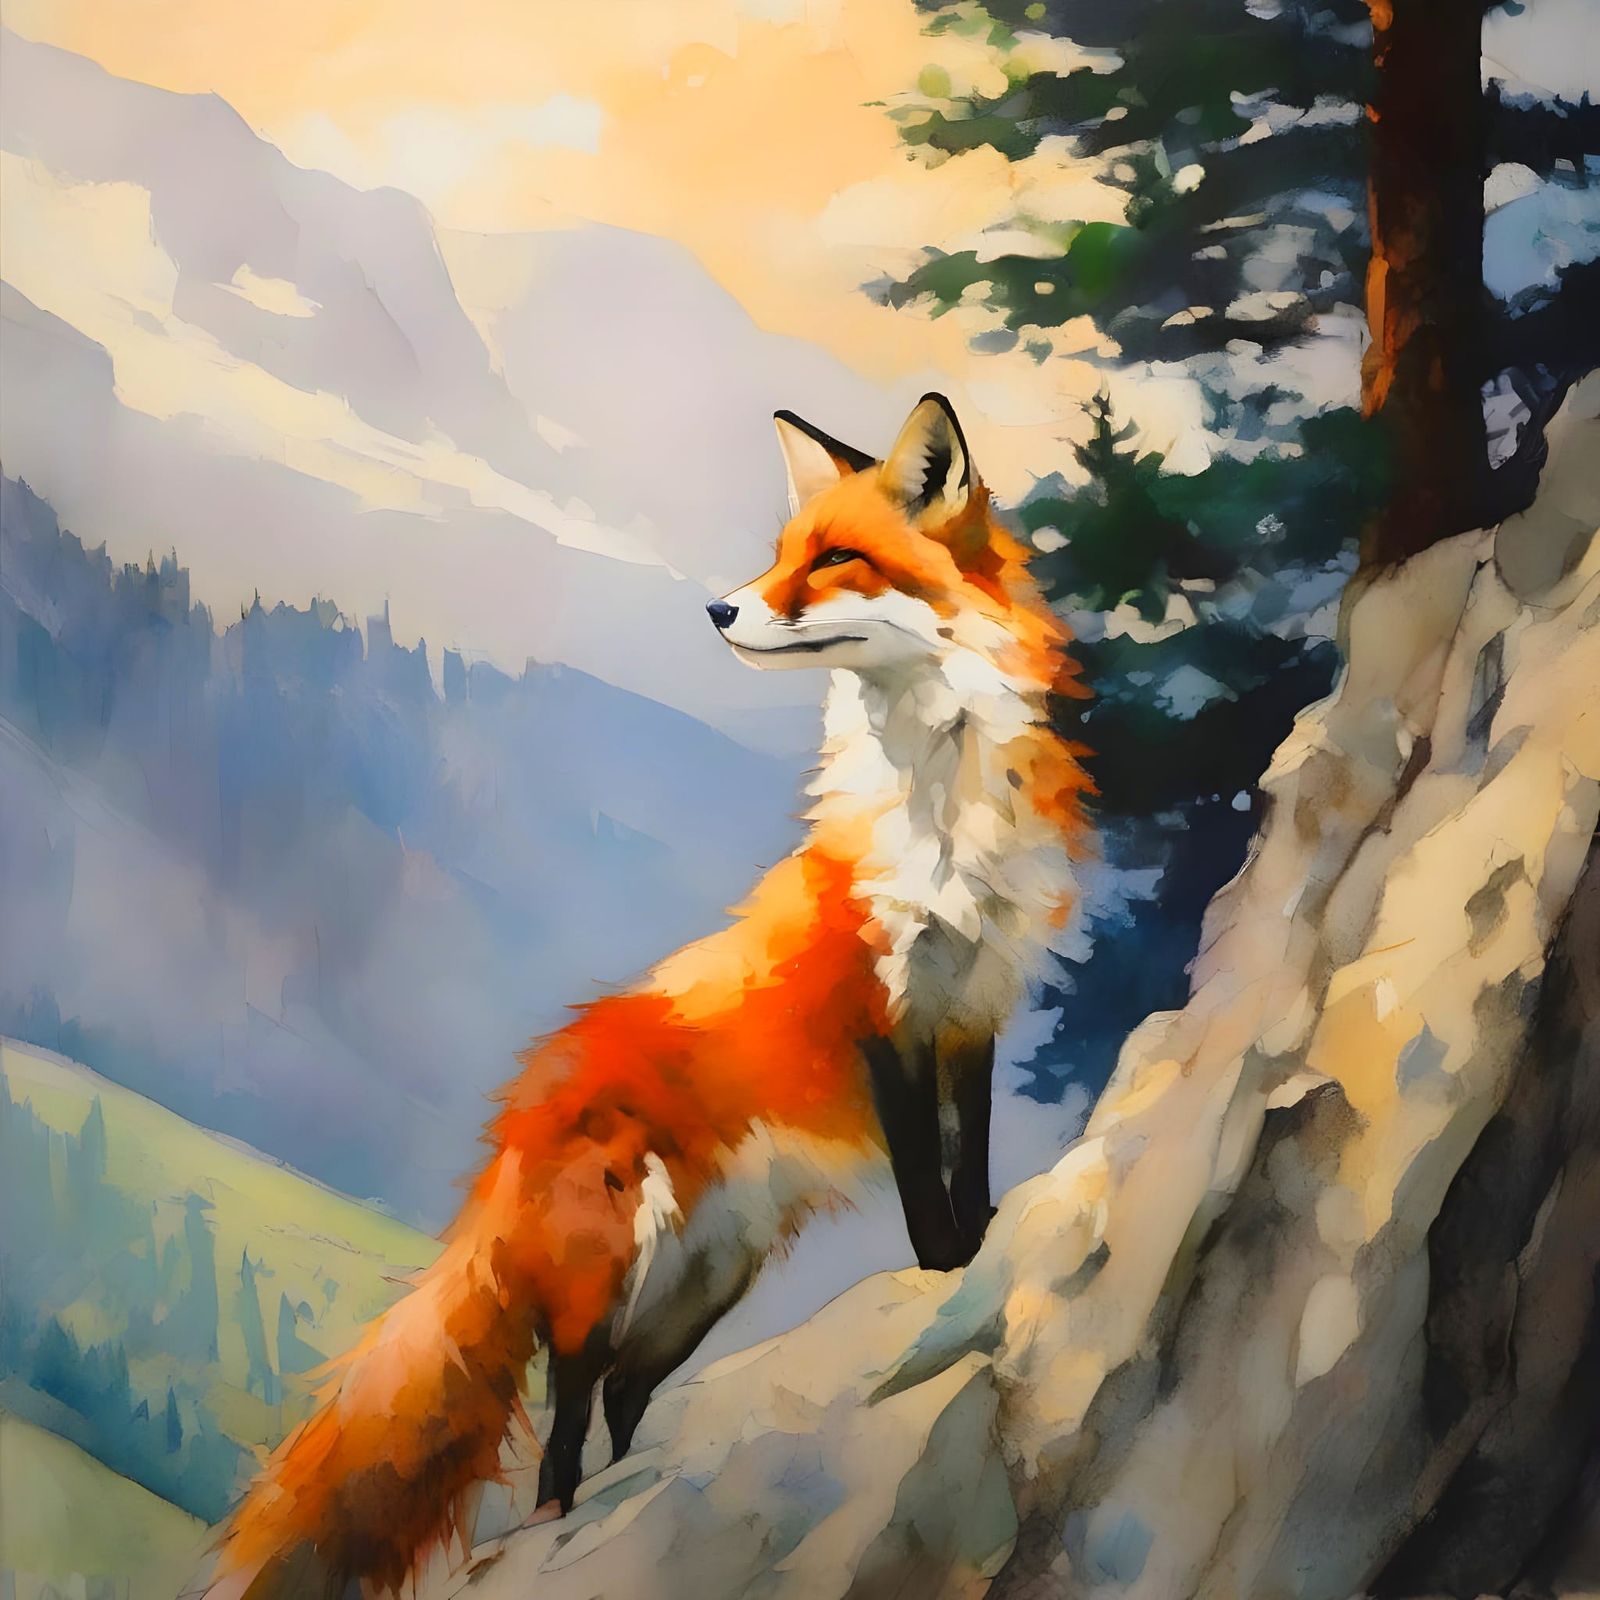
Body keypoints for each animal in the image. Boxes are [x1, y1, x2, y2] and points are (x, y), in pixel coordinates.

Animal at [198, 394, 1091, 1599]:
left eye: (835, 560)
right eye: (779, 554)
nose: (717, 607)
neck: (941, 817)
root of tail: (514, 1114)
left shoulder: (973, 1004)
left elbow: (972, 1155)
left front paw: (983, 1239)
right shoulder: (883, 1012)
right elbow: (921, 1176)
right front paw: (947, 1268)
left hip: (699, 1289)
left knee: (625, 1401)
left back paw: (632, 1494)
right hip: (608, 1277)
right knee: (565, 1421)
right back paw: (562, 1526)